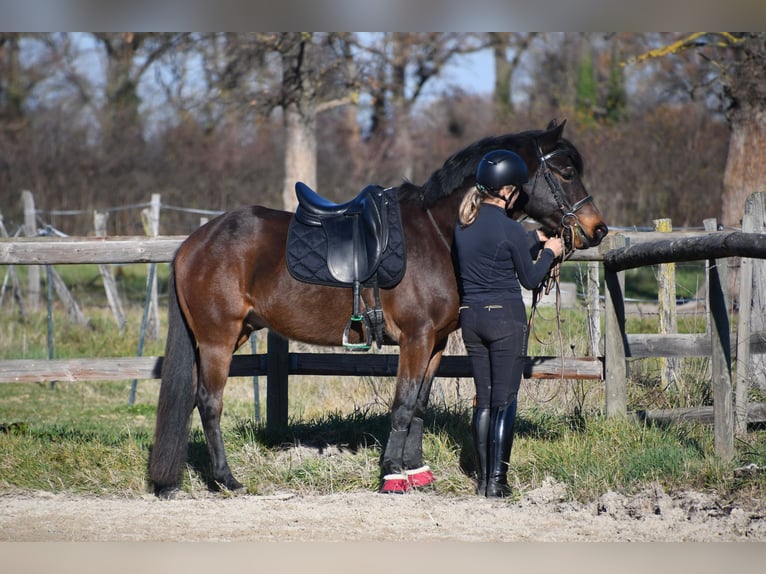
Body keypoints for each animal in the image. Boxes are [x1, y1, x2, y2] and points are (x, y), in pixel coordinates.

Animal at [149, 119, 609, 497]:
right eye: (566, 172)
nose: (597, 229)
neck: (439, 234)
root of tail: (193, 243)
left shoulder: (435, 343)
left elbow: (419, 404)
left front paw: (416, 472)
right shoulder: (415, 339)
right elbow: (402, 404)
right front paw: (391, 473)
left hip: (233, 333)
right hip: (218, 339)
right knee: (209, 403)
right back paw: (226, 480)